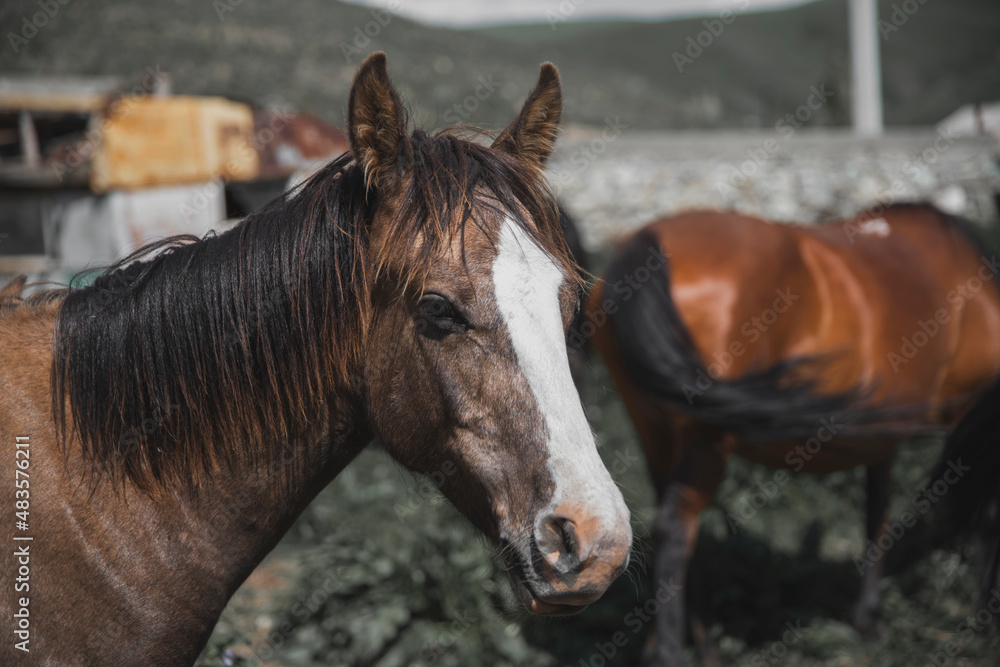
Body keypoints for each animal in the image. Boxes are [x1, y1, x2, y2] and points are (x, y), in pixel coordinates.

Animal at [584, 204, 1000, 665]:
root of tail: (648, 242)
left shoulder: (881, 442)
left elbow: (878, 514)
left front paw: (868, 619)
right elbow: (980, 514)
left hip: (656, 430)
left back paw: (701, 645)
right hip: (707, 438)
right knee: (676, 528)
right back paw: (674, 653)